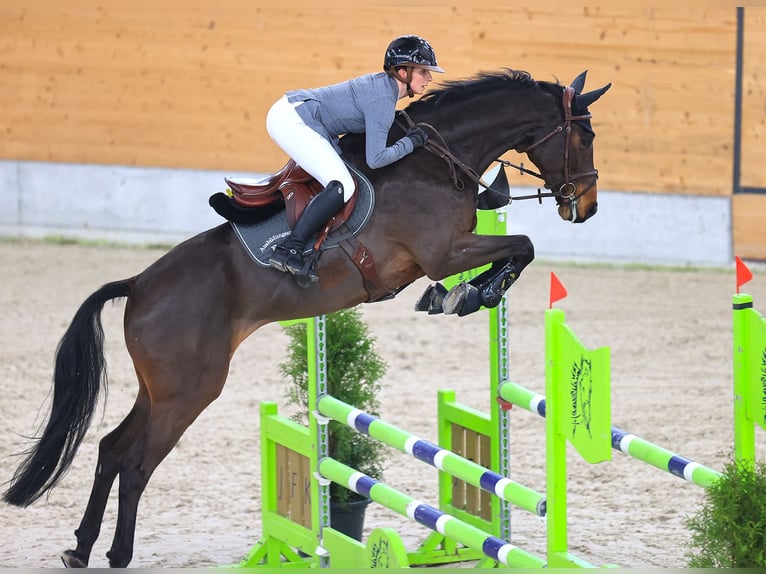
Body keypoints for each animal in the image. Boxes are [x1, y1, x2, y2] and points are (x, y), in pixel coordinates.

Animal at [3, 68, 610, 567]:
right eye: (585, 137)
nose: (586, 207)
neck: (435, 160)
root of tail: (138, 285)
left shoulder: (445, 252)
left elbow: (515, 248)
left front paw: (455, 296)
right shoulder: (443, 251)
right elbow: (522, 244)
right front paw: (471, 294)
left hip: (161, 388)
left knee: (110, 450)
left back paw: (80, 548)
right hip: (189, 391)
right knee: (135, 463)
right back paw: (117, 553)